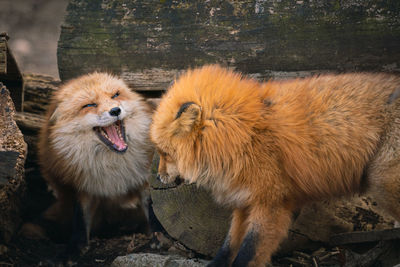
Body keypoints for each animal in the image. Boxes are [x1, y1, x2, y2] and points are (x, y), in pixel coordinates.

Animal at [37, 73, 154, 253]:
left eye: (115, 95)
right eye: (90, 105)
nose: (115, 110)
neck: (112, 166)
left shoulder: (144, 178)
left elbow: (153, 210)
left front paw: (159, 237)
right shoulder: (83, 185)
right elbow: (80, 219)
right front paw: (75, 248)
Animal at [150, 65, 400, 267]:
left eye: (165, 153)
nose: (158, 178)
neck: (242, 135)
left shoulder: (271, 204)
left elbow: (247, 254)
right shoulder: (244, 202)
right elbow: (228, 247)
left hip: (382, 183)